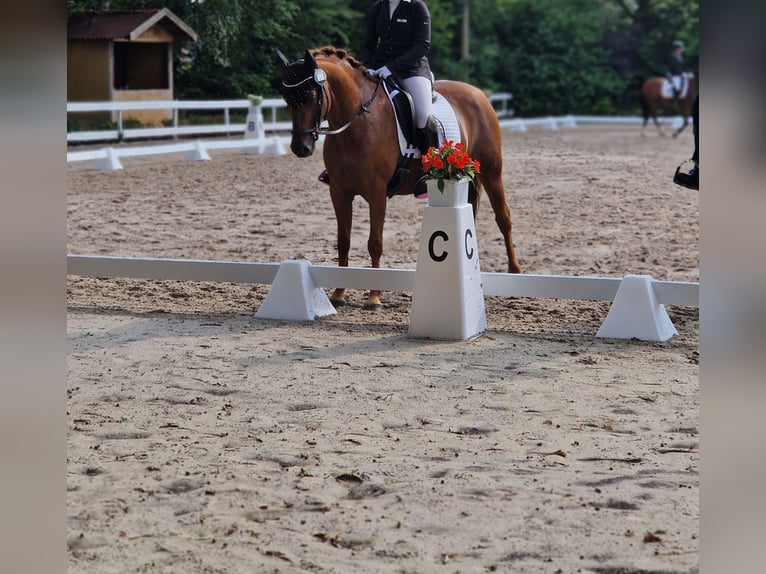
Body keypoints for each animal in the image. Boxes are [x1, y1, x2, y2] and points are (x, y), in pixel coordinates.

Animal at [276, 45, 520, 312]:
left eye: (311, 96)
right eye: (287, 99)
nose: (300, 147)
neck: (356, 126)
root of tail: (477, 92)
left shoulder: (377, 193)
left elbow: (375, 243)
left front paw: (374, 298)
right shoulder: (339, 193)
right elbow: (343, 241)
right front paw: (339, 294)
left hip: (492, 172)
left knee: (504, 218)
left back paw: (515, 274)